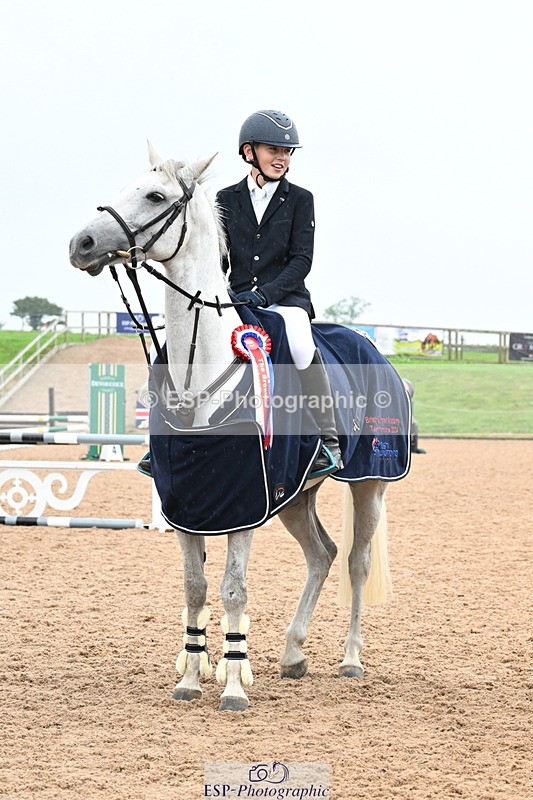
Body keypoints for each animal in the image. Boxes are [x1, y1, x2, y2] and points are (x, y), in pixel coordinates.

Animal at [69, 144, 410, 711]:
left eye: (155, 195)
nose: (82, 244)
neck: (200, 369)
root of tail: (374, 350)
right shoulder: (191, 502)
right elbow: (195, 588)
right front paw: (190, 679)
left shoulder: (244, 505)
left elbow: (233, 589)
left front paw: (231, 687)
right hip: (295, 495)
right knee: (322, 554)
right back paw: (293, 653)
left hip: (370, 483)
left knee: (355, 562)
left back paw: (351, 659)